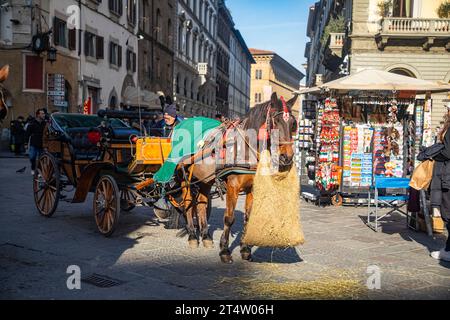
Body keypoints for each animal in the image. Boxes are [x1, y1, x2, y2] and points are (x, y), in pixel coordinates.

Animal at [176, 92, 298, 262]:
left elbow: (248, 217)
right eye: (276, 121)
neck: (246, 148)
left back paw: (206, 236)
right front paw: (224, 250)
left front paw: (245, 248)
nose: (287, 157)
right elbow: (229, 218)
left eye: (293, 124)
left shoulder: (252, 188)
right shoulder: (232, 187)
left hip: (205, 180)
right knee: (188, 204)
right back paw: (193, 236)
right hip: (185, 178)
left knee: (201, 204)